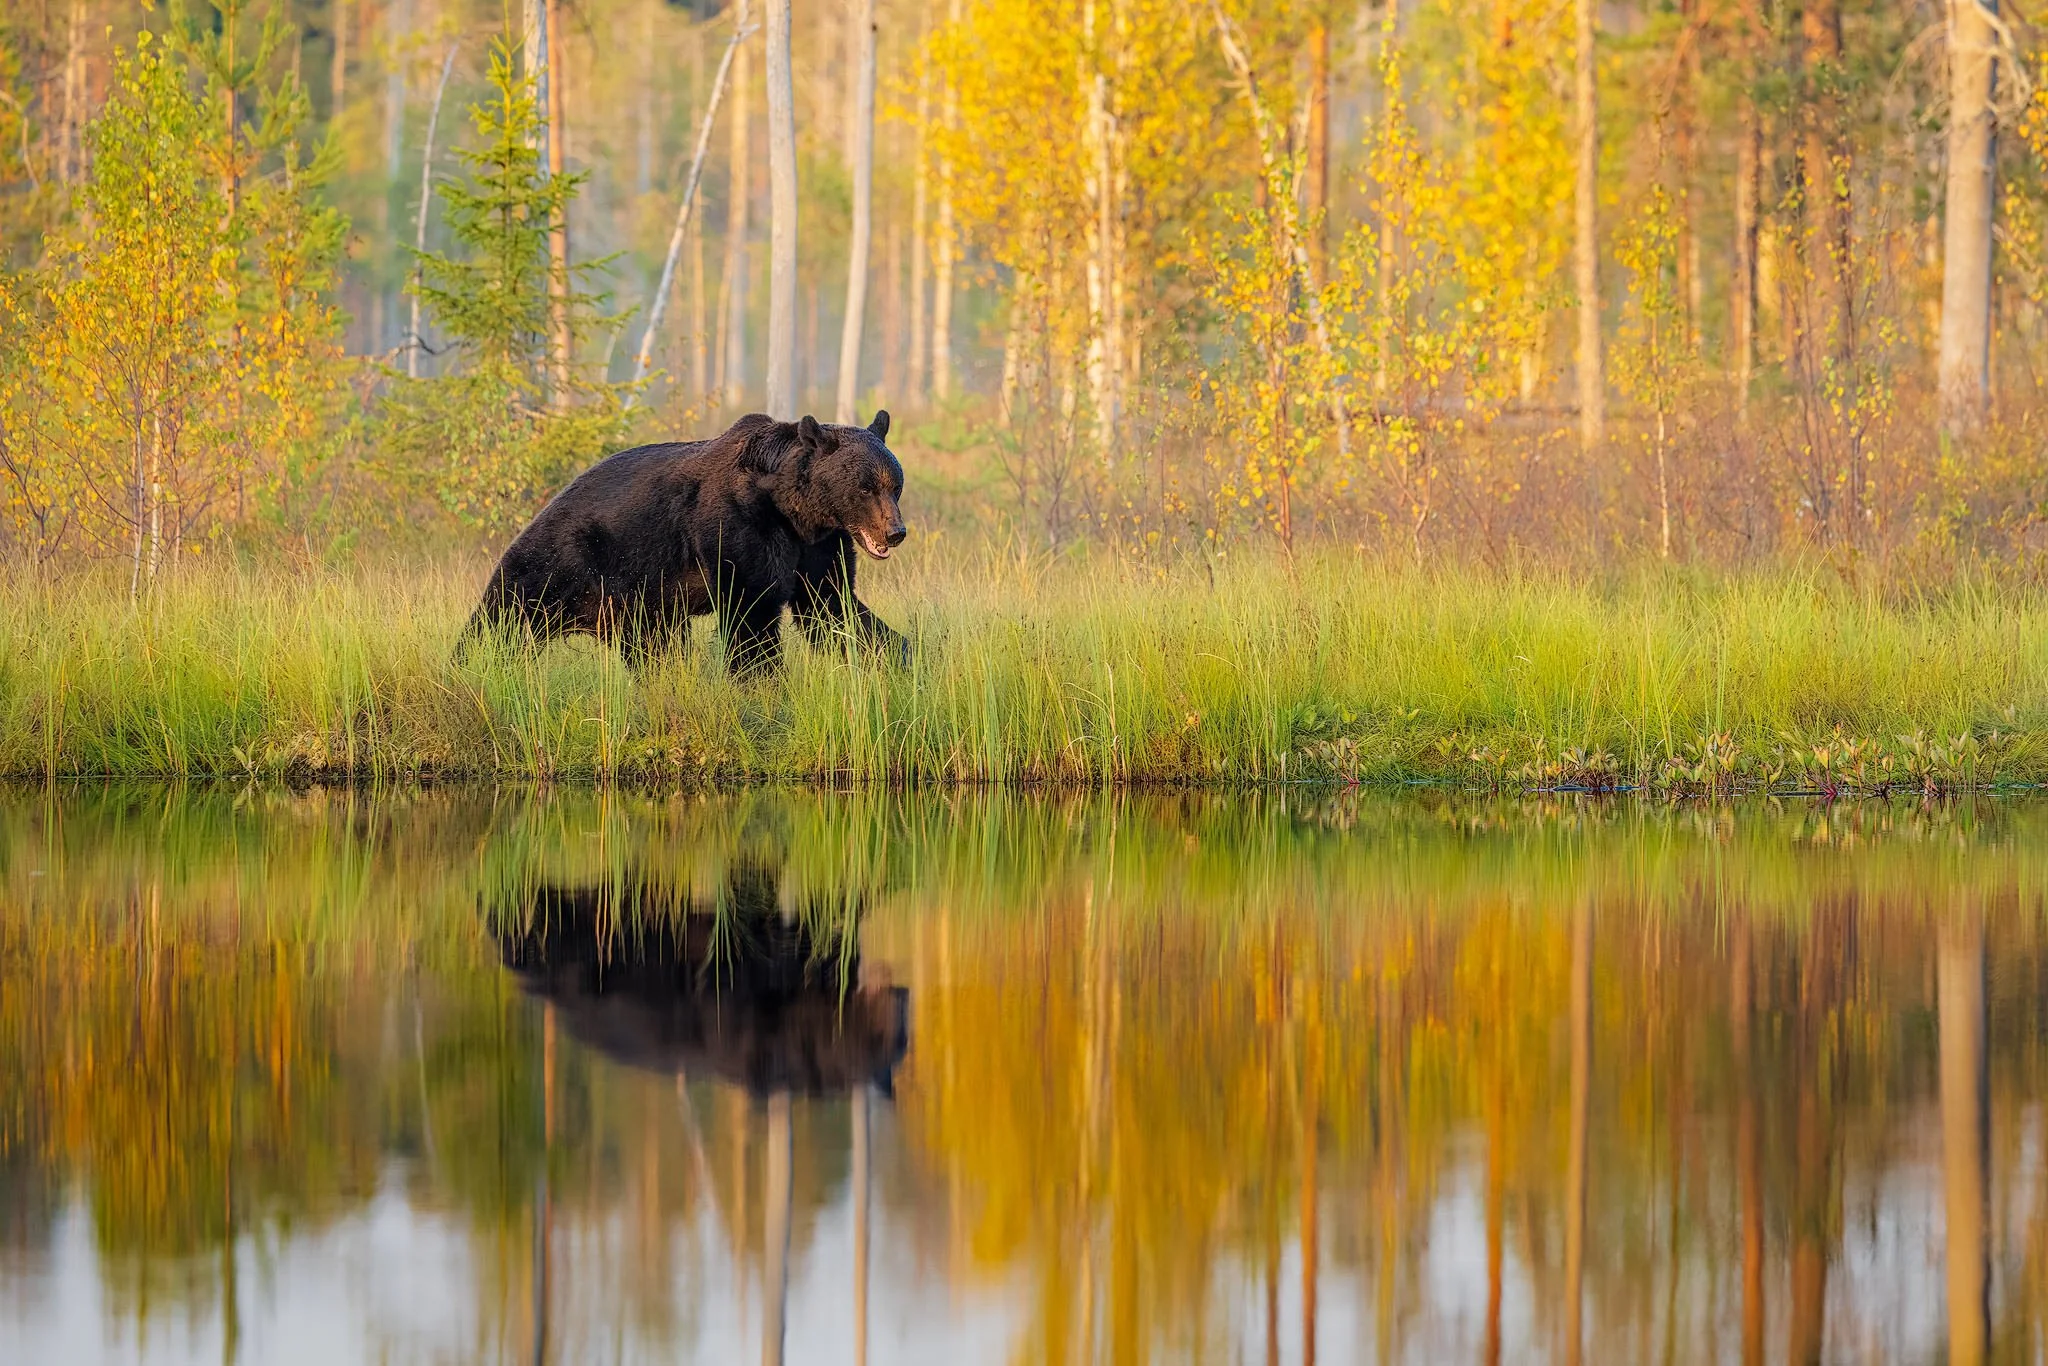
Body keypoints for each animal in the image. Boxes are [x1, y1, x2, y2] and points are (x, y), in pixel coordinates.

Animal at [463, 410, 908, 676]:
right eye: (866, 487)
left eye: (895, 485)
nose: (895, 532)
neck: (793, 510)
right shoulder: (739, 527)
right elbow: (752, 611)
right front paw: (764, 681)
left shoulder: (816, 545)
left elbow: (832, 606)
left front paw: (898, 657)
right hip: (561, 563)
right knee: (501, 621)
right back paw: (470, 665)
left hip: (640, 603)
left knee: (655, 649)